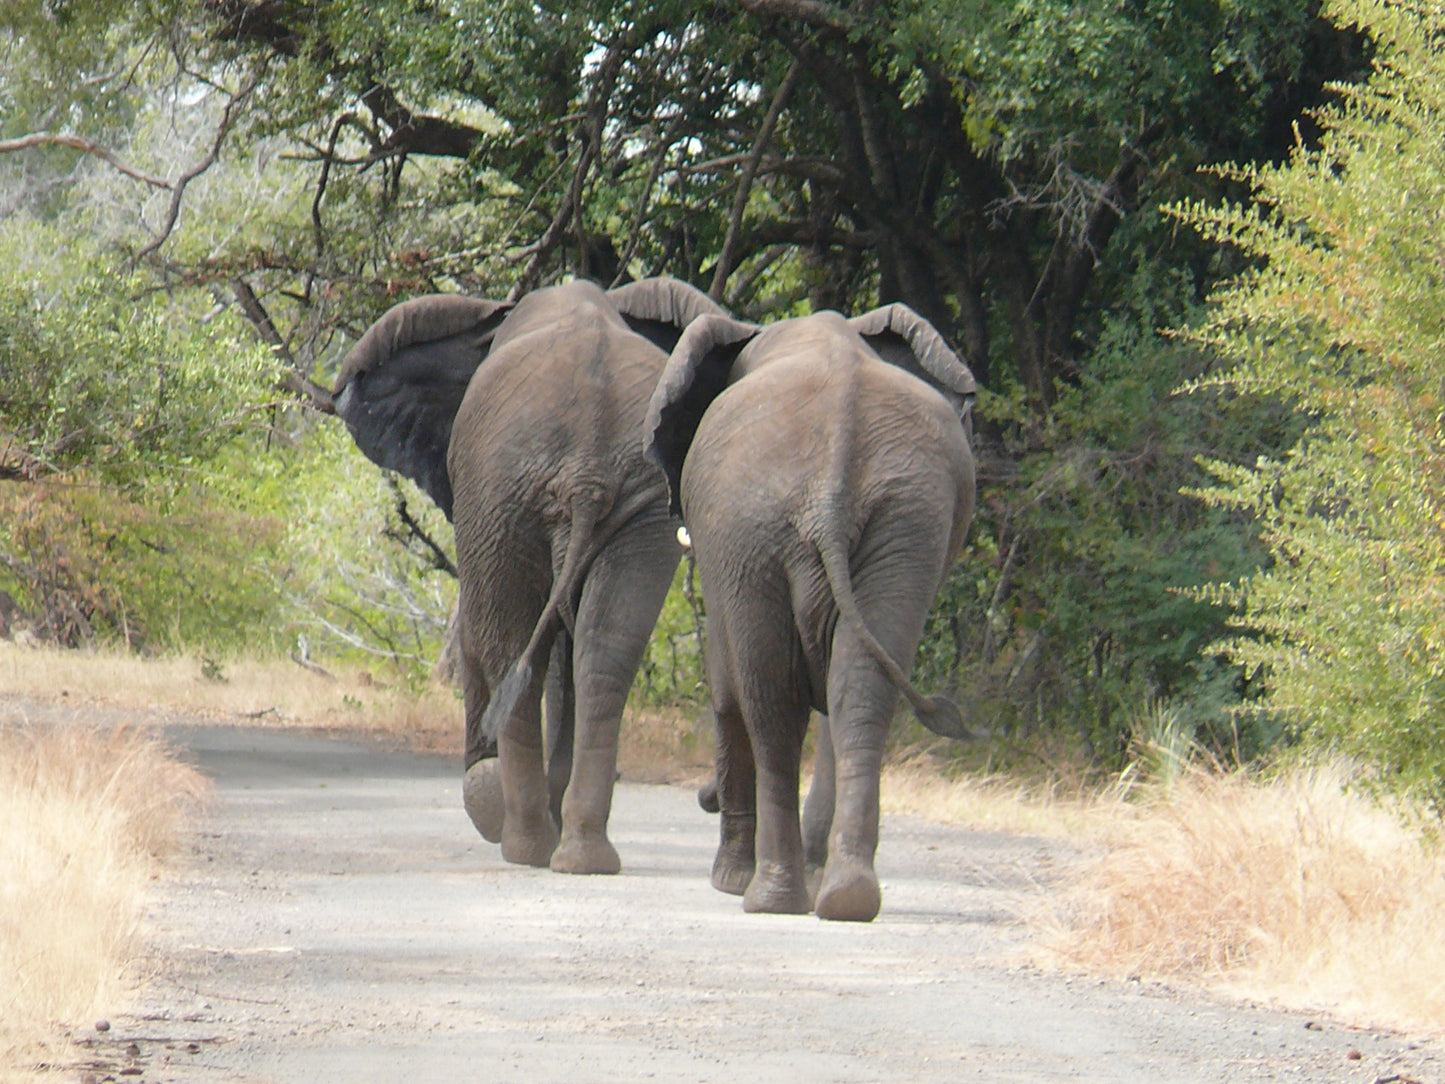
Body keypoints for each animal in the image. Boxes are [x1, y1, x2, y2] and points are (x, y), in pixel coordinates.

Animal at [333, 277, 728, 872]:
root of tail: (587, 475)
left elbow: (484, 628)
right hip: (640, 503)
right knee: (604, 651)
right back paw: (582, 855)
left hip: (504, 488)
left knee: (505, 639)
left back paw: (523, 842)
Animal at [647, 306, 976, 925]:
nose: (702, 797)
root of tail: (831, 482)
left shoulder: (723, 554)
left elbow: (727, 687)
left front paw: (727, 881)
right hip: (906, 521)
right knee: (859, 690)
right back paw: (846, 897)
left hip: (751, 527)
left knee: (770, 702)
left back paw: (765, 897)